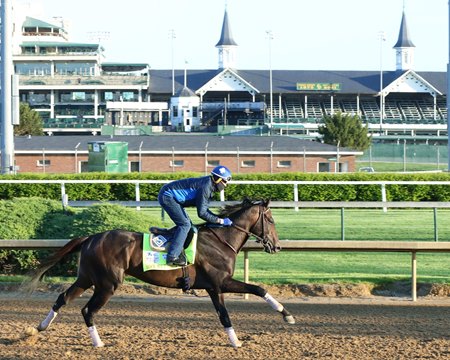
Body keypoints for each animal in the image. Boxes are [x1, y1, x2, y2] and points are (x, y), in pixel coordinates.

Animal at [23, 200, 296, 348]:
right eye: (271, 220)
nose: (277, 246)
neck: (221, 240)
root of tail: (91, 237)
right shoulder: (221, 282)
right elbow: (253, 292)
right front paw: (285, 316)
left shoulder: (213, 287)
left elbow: (230, 310)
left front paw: (238, 340)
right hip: (107, 284)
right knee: (87, 310)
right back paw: (98, 343)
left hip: (87, 278)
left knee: (62, 299)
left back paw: (38, 329)